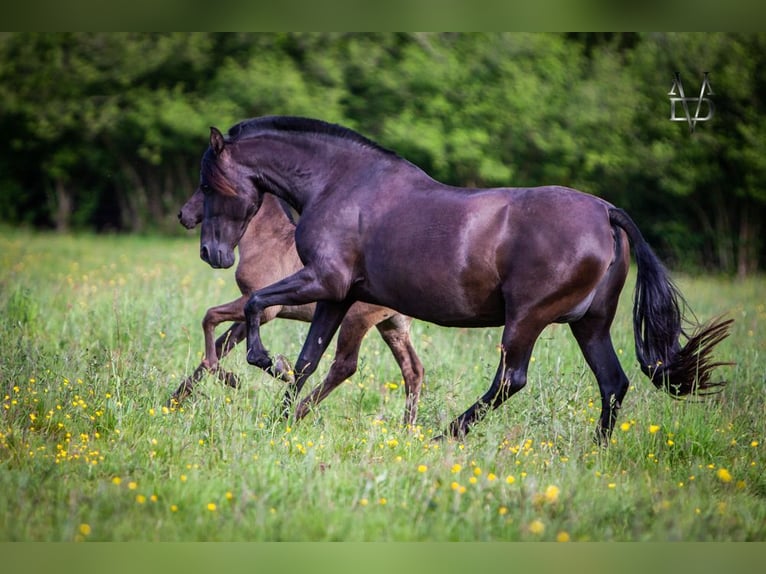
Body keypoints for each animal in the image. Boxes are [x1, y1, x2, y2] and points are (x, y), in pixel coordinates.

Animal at [170, 189, 426, 428]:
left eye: (205, 190)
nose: (183, 215)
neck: (266, 241)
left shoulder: (259, 307)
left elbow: (210, 317)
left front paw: (258, 375)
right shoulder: (253, 314)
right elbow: (222, 343)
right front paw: (175, 399)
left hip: (356, 320)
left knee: (344, 366)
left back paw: (295, 413)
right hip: (392, 326)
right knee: (412, 369)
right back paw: (407, 428)